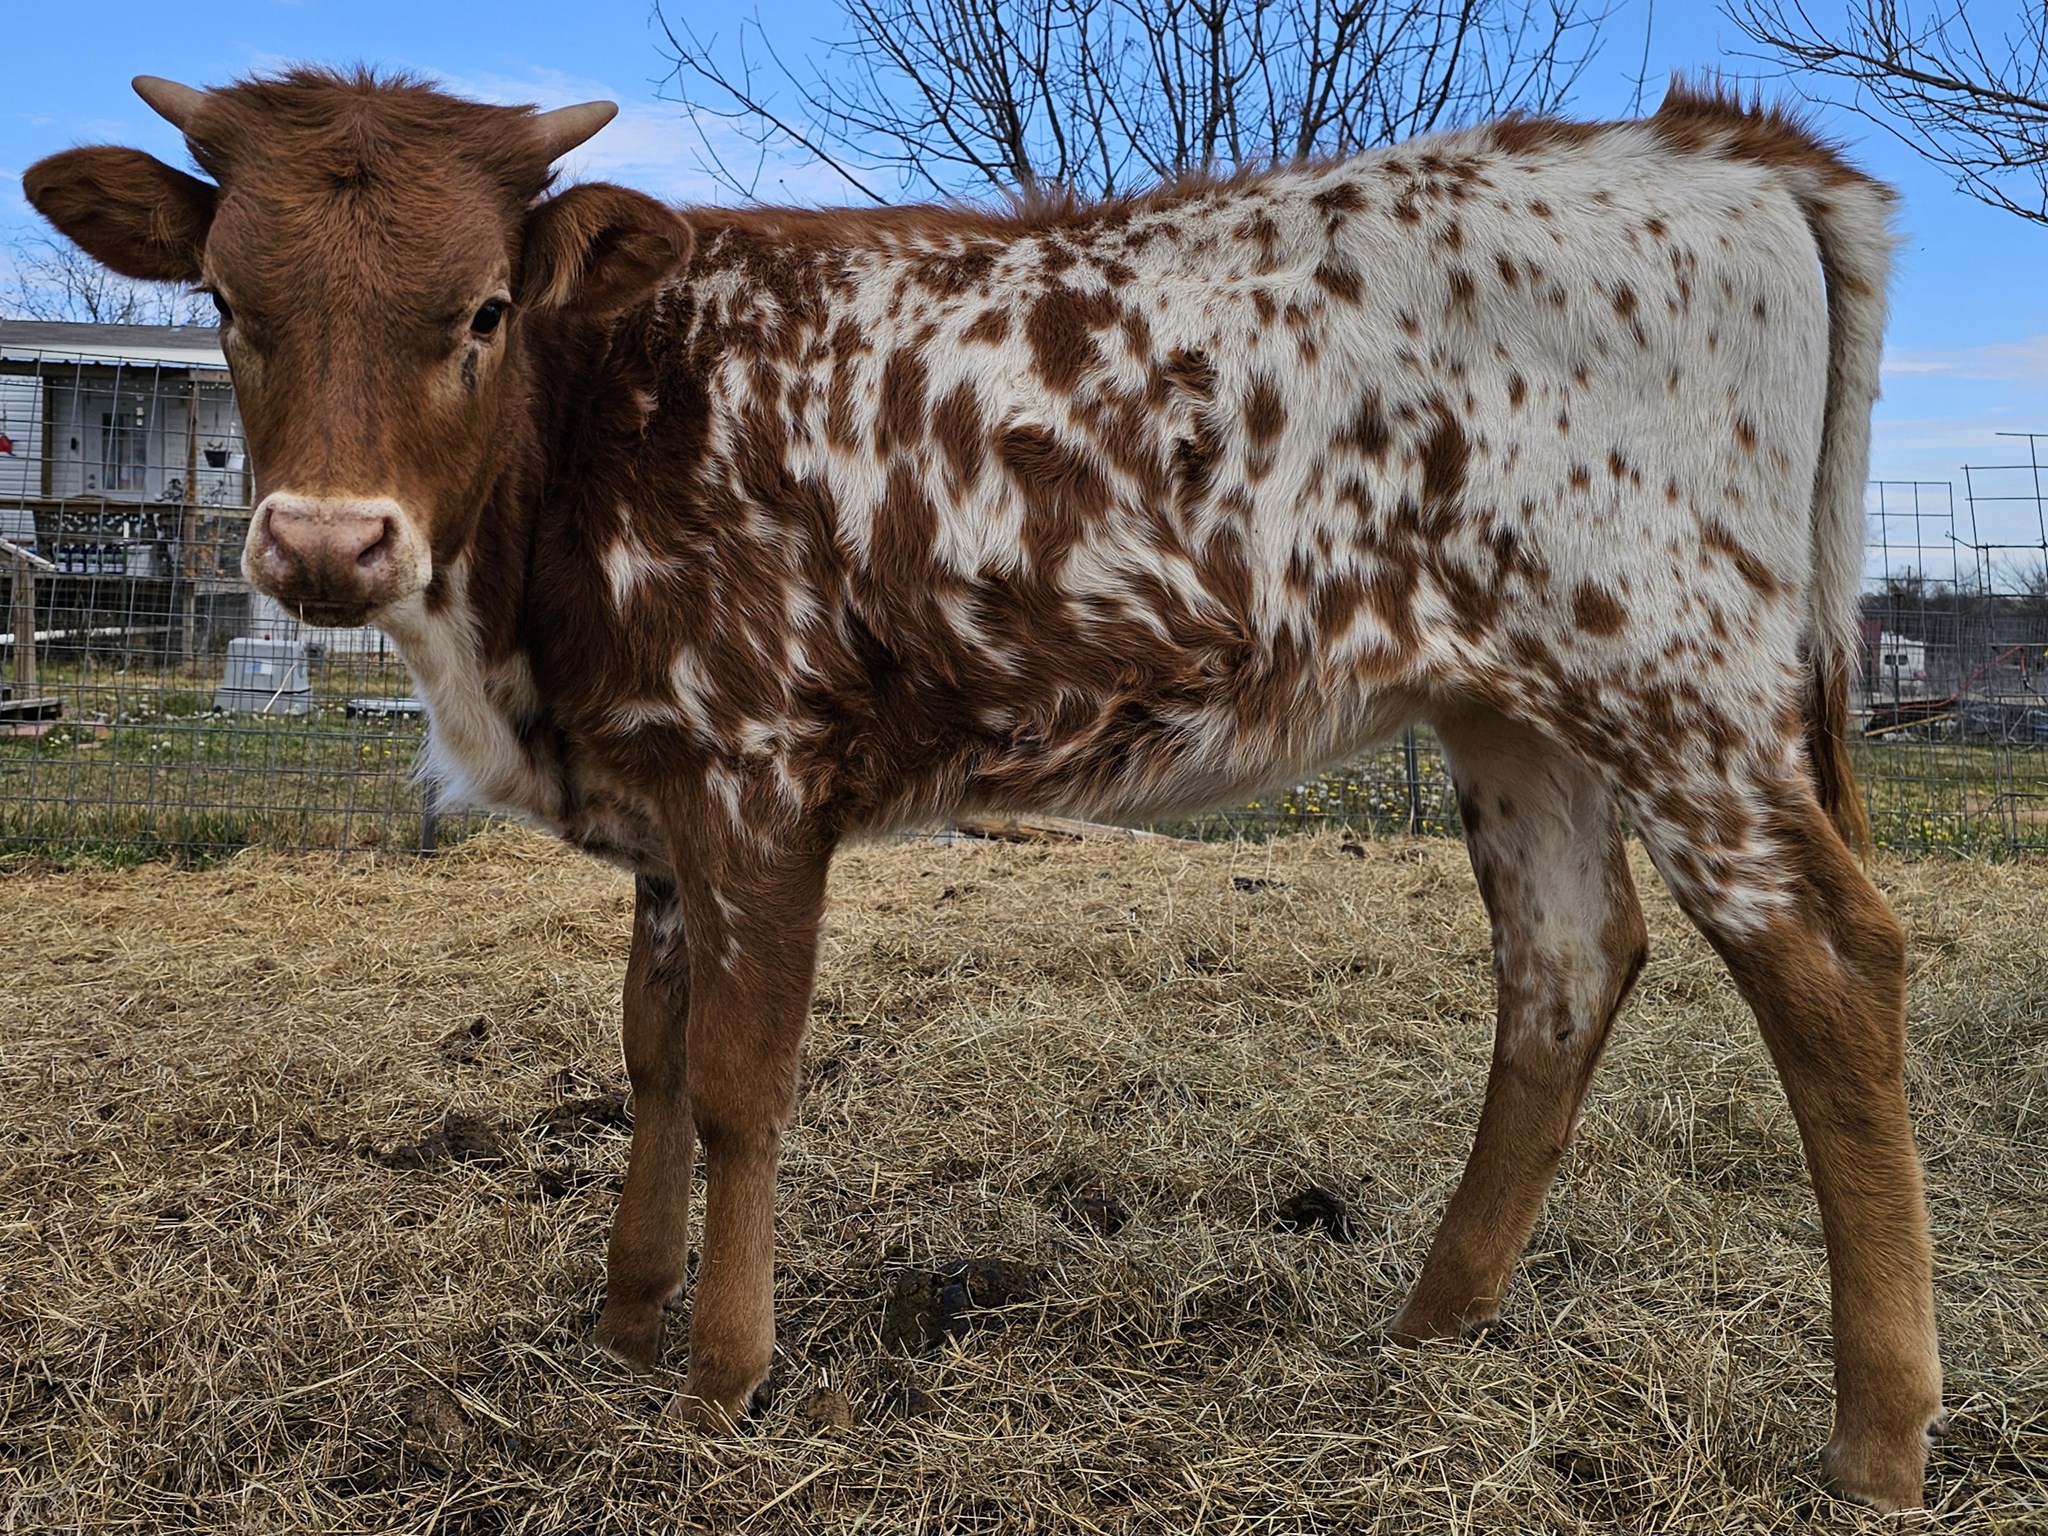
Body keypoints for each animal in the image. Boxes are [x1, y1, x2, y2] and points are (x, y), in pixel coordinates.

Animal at [24, 68, 1941, 1509]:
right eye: (230, 309)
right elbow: (647, 1054)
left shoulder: (757, 771)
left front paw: (719, 1380)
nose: (325, 544)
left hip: (1675, 674)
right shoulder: (661, 791)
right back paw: (1433, 1330)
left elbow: (738, 1082)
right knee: (1564, 961)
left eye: (483, 310)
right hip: (1510, 705)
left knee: (1831, 962)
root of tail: (1711, 142)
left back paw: (1875, 1438)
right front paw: (626, 1324)